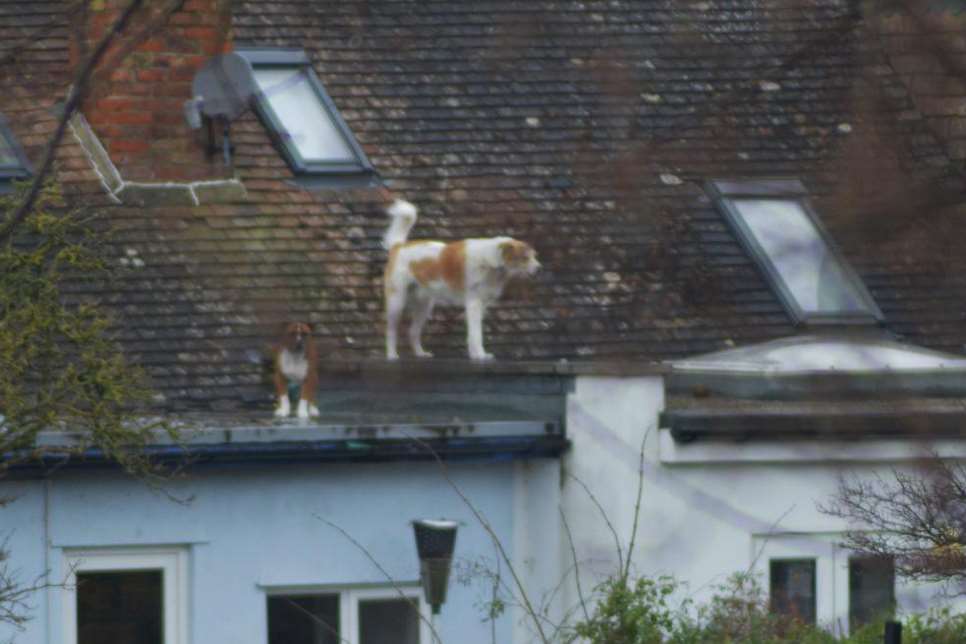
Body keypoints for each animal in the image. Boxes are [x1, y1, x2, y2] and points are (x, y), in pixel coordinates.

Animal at [382, 200, 540, 360]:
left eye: (533, 256)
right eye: (525, 258)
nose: (539, 268)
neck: (491, 261)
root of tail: (399, 246)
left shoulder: (480, 306)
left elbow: (473, 334)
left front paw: (475, 354)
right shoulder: (474, 304)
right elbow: (476, 334)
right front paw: (480, 355)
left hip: (424, 306)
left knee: (413, 331)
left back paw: (420, 353)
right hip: (397, 302)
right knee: (391, 330)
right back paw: (391, 354)